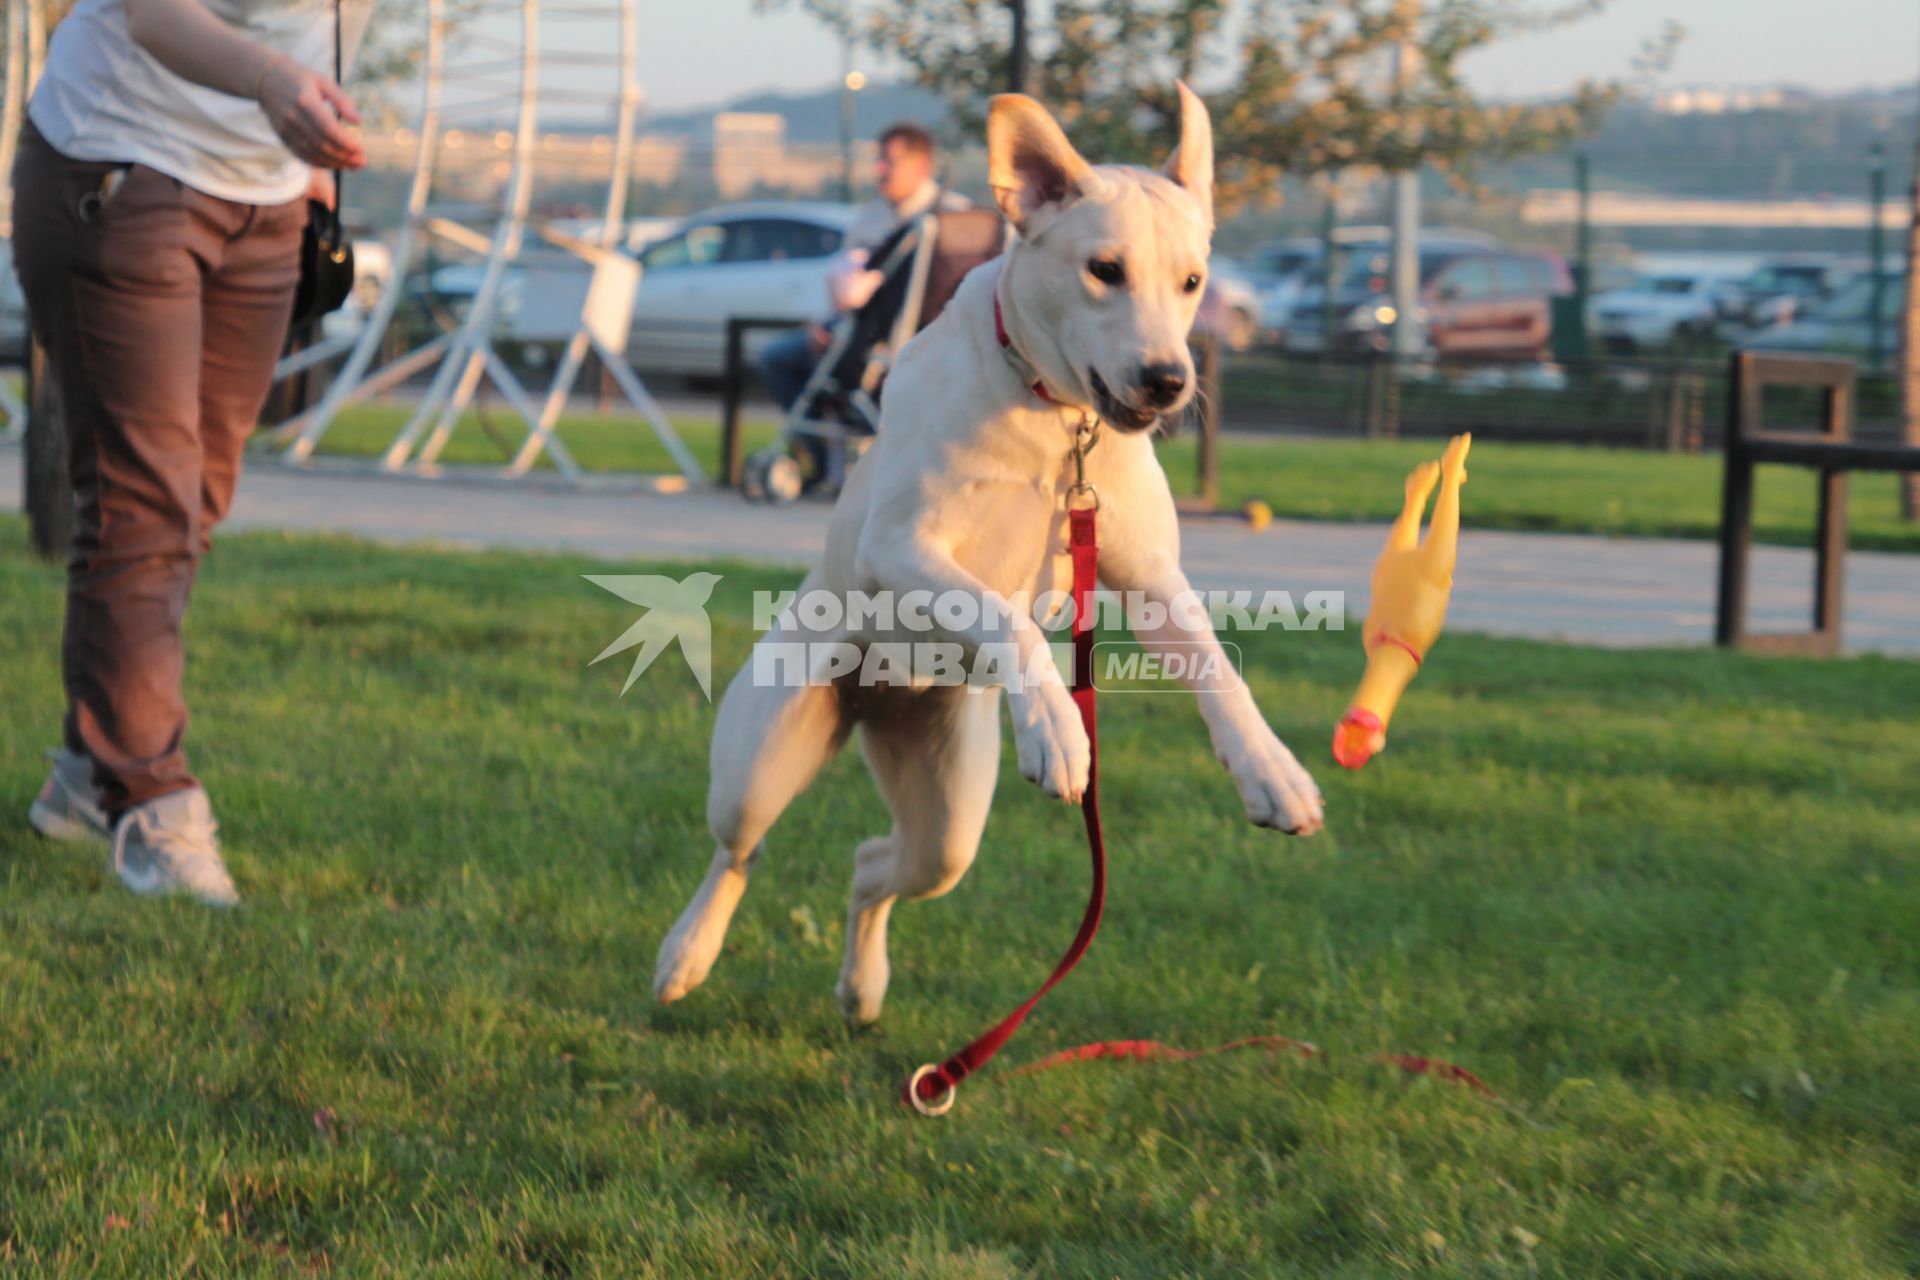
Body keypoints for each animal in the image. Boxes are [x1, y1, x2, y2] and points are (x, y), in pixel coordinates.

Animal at [652, 84, 1328, 1028]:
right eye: (1104, 270)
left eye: (1193, 281)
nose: (1167, 380)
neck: (1051, 411)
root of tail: (879, 699)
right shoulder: (898, 548)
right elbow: (1004, 615)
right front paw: (1058, 727)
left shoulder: (1151, 577)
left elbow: (1214, 668)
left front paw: (1272, 773)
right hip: (762, 756)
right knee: (735, 855)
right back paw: (686, 955)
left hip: (948, 813)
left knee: (878, 865)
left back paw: (863, 988)